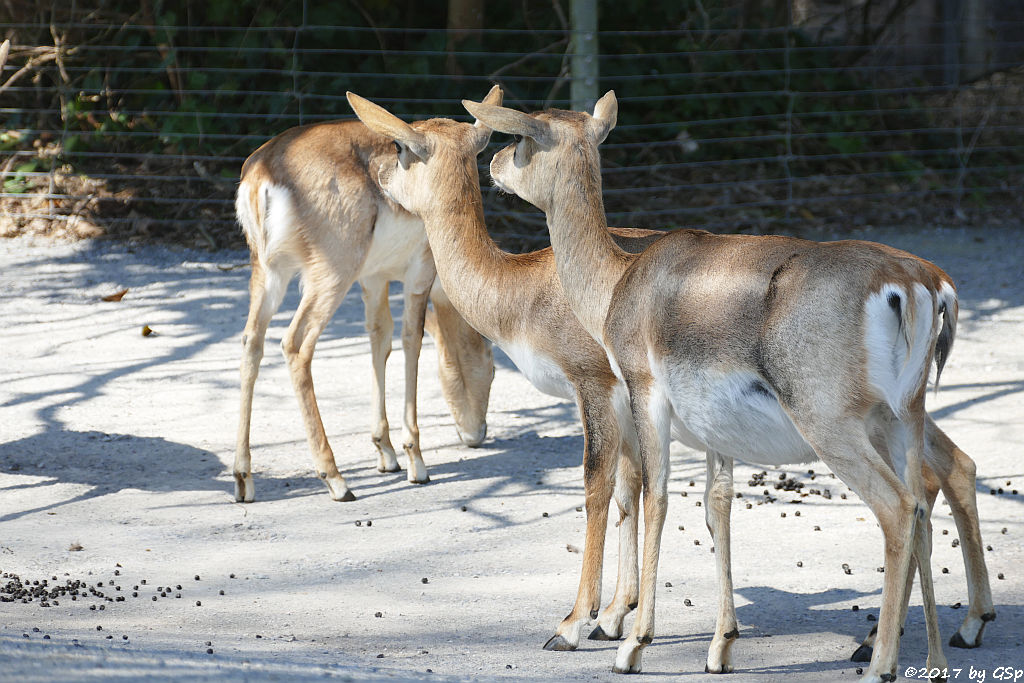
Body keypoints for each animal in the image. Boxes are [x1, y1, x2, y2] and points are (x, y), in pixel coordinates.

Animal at [236, 112, 499, 501]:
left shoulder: (373, 279)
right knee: (295, 344)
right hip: (330, 275)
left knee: (252, 341)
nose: (477, 434)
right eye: (493, 367)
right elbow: (411, 340)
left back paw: (243, 478)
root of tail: (264, 170)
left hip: (269, 272)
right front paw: (416, 462)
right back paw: (336, 480)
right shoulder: (419, 273)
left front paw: (385, 453)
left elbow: (380, 340)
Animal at [350, 87, 671, 651]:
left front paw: (573, 623)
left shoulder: (593, 385)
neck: (525, 289)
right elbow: (629, 488)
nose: (381, 172)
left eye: (405, 146)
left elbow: (597, 484)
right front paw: (614, 616)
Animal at [468, 94, 995, 683]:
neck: (621, 281)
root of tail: (915, 281)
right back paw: (938, 653)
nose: (493, 166)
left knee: (901, 509)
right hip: (904, 419)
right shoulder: (715, 433)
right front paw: (720, 647)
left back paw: (883, 660)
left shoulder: (644, 396)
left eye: (523, 137)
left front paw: (622, 642)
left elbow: (654, 497)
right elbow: (714, 507)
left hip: (835, 429)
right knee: (927, 498)